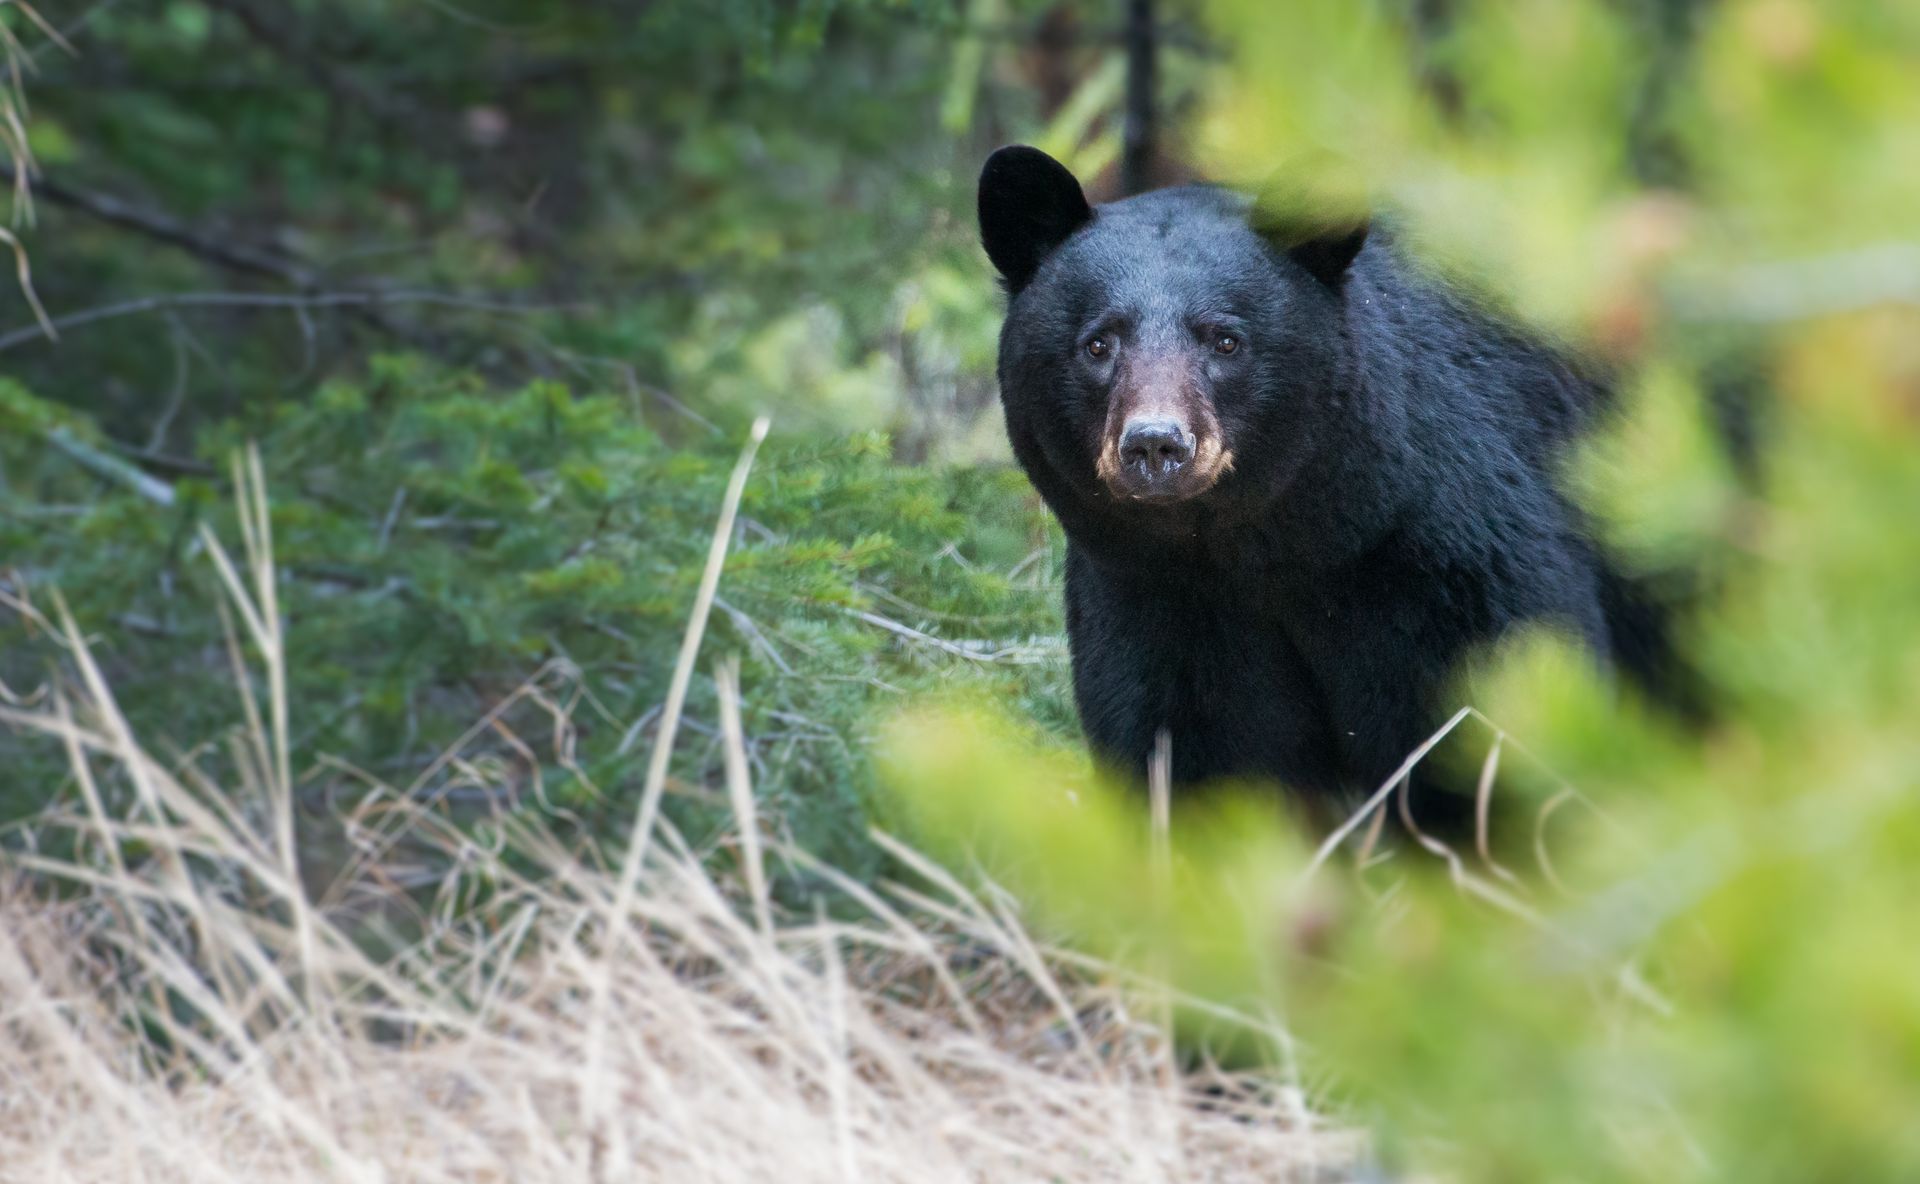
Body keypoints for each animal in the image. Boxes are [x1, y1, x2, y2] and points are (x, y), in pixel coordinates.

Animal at [977, 144, 1682, 830]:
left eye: (1225, 339)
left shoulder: (1450, 564)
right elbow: (1194, 756)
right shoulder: (1155, 598)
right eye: (1098, 344)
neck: (1276, 549)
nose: (1156, 444)